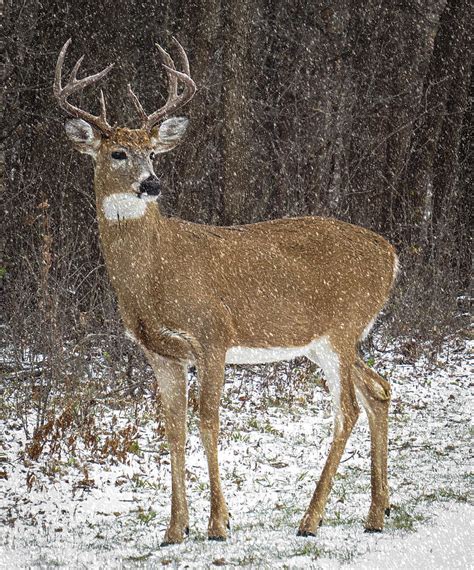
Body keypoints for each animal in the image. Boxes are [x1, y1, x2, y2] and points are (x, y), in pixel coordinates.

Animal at [53, 37, 398, 544]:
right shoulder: (160, 352)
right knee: (378, 388)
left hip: (341, 329)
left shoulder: (213, 333)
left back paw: (311, 519)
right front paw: (175, 528)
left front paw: (218, 523)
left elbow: (208, 420)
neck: (154, 274)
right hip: (331, 340)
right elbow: (173, 429)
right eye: (117, 153)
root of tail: (391, 254)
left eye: (153, 152)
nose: (151, 183)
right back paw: (376, 512)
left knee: (348, 409)